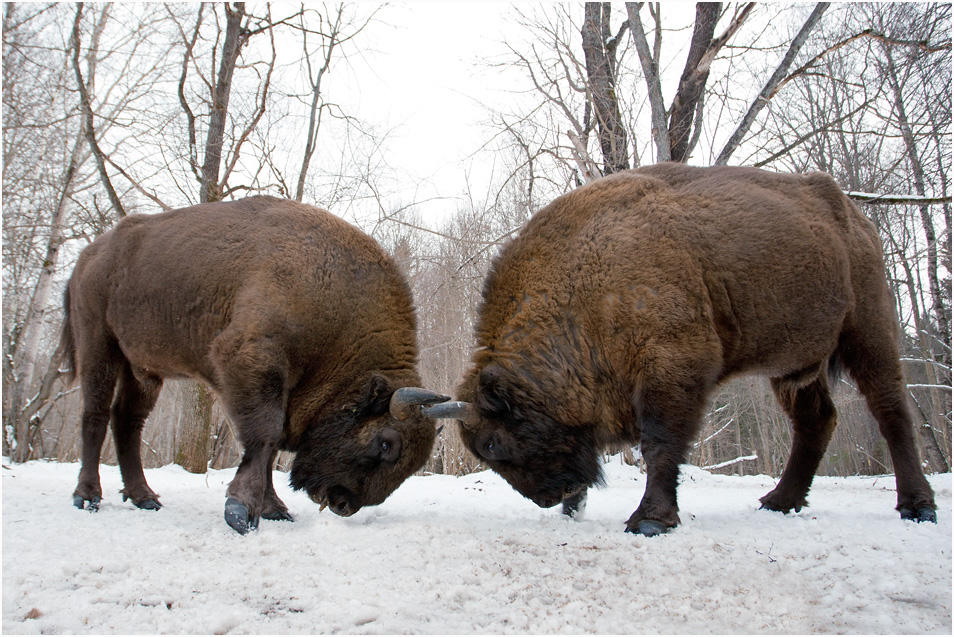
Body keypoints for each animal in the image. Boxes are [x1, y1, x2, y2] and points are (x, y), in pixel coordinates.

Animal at [64, 196, 450, 536]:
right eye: (386, 444)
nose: (343, 503)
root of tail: (88, 255)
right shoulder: (246, 361)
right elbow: (265, 435)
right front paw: (241, 512)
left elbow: (271, 445)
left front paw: (274, 509)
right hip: (98, 344)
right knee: (95, 415)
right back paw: (87, 497)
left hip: (143, 369)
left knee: (127, 420)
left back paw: (145, 498)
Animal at [430, 165, 936, 536]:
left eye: (493, 443)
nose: (548, 498)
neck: (584, 285)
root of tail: (854, 215)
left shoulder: (673, 366)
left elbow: (660, 444)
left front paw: (650, 520)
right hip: (794, 364)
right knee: (817, 420)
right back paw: (778, 501)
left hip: (868, 330)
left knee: (891, 411)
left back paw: (917, 507)